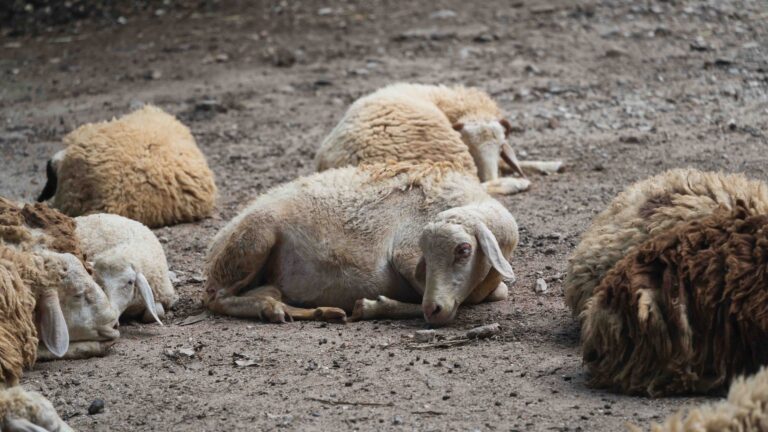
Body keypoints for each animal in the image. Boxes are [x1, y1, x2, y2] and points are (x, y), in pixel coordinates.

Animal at [204, 162, 519, 326]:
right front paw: (372, 306)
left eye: (464, 250)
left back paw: (316, 311)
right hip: (252, 241)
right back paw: (275, 310)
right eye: (426, 257)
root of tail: (216, 242)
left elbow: (498, 292)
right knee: (218, 299)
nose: (435, 310)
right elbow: (427, 299)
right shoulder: (405, 254)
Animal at [314, 83, 561, 196]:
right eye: (470, 147)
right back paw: (517, 184)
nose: (493, 174)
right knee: (474, 185)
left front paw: (551, 164)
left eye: (501, 145)